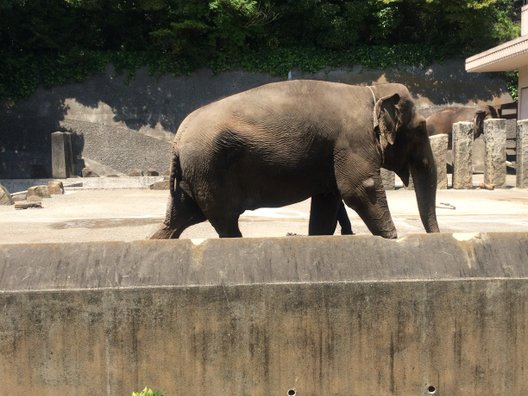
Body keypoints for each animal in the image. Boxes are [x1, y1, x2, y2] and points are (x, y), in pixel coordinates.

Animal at [151, 80, 440, 238]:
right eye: (420, 129)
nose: (436, 237)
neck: (372, 90)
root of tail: (177, 139)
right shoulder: (354, 140)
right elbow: (360, 189)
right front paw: (392, 238)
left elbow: (327, 201)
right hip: (208, 169)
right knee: (224, 222)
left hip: (194, 175)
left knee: (180, 218)